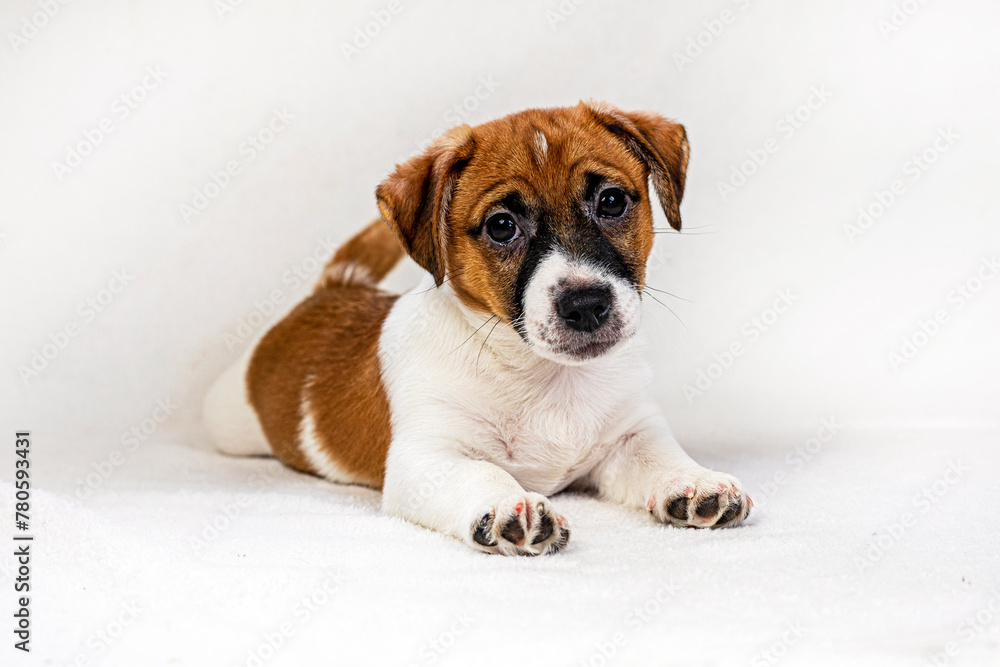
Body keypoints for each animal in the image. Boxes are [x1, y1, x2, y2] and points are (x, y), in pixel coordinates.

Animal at [203, 100, 752, 560]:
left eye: (612, 201)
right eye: (502, 226)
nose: (586, 305)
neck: (544, 374)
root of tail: (335, 288)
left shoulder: (630, 434)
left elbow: (658, 455)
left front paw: (694, 482)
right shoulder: (427, 458)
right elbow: (481, 470)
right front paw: (511, 505)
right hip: (229, 425)